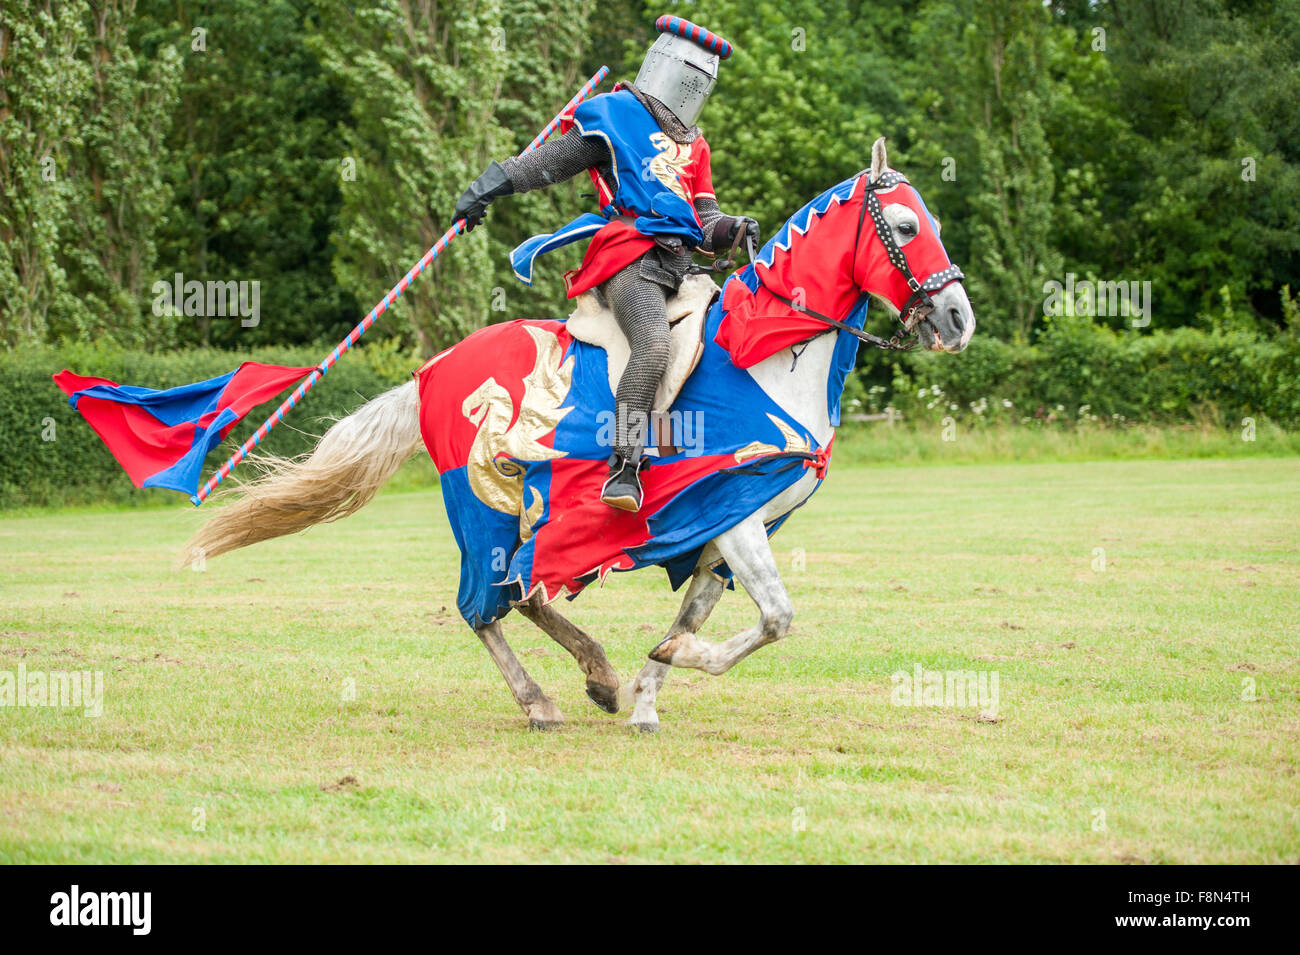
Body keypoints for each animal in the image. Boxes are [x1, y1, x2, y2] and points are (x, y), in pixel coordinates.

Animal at [185, 136, 977, 732]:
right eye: (907, 227)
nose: (958, 320)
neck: (763, 358)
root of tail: (432, 371)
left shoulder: (722, 532)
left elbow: (697, 618)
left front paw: (651, 691)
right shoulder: (736, 512)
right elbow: (779, 618)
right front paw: (686, 659)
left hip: (528, 511)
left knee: (524, 591)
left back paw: (598, 676)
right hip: (482, 502)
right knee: (484, 606)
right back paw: (539, 701)